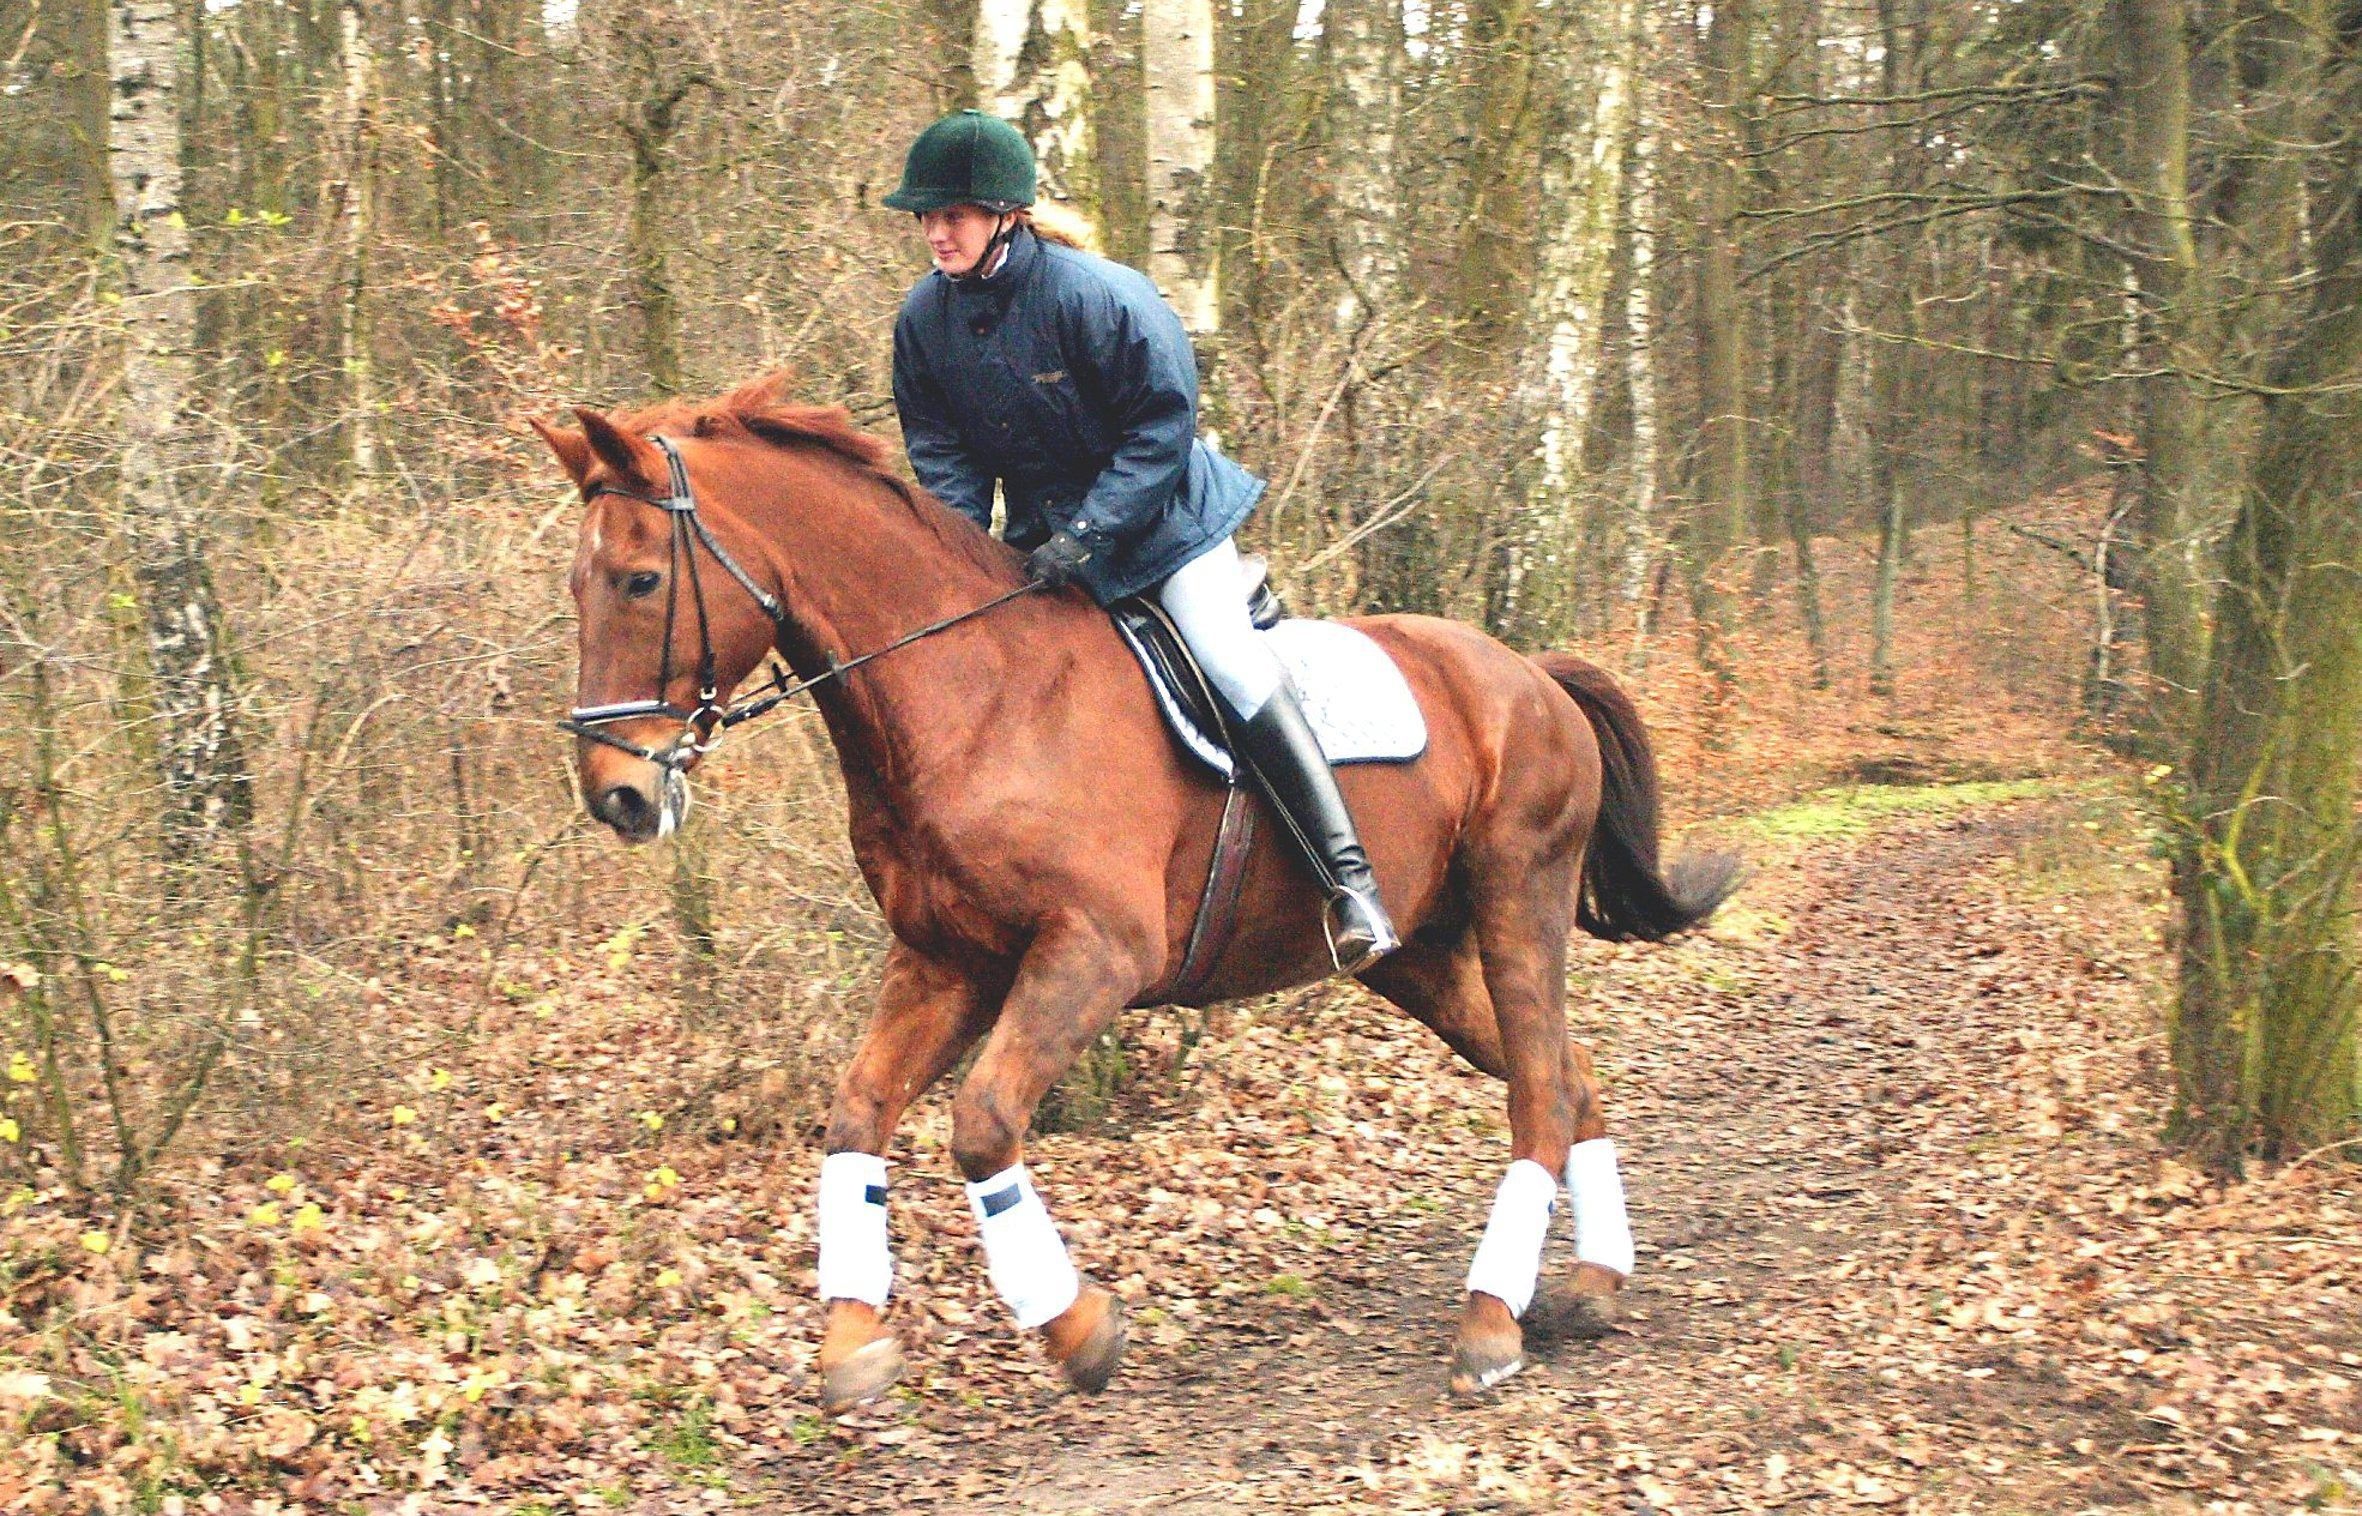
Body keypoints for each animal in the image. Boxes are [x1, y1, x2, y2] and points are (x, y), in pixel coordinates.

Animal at [540, 375, 1738, 1407]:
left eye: (641, 580)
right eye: (578, 585)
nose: (616, 797)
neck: (971, 697)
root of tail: (1532, 674)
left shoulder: (1093, 953)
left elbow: (982, 1124)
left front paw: (1075, 1326)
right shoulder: (945, 961)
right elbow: (857, 1116)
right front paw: (851, 1344)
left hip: (1516, 899)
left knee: (1538, 1089)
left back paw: (1490, 1321)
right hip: (1422, 957)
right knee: (1568, 1074)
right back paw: (1590, 1283)